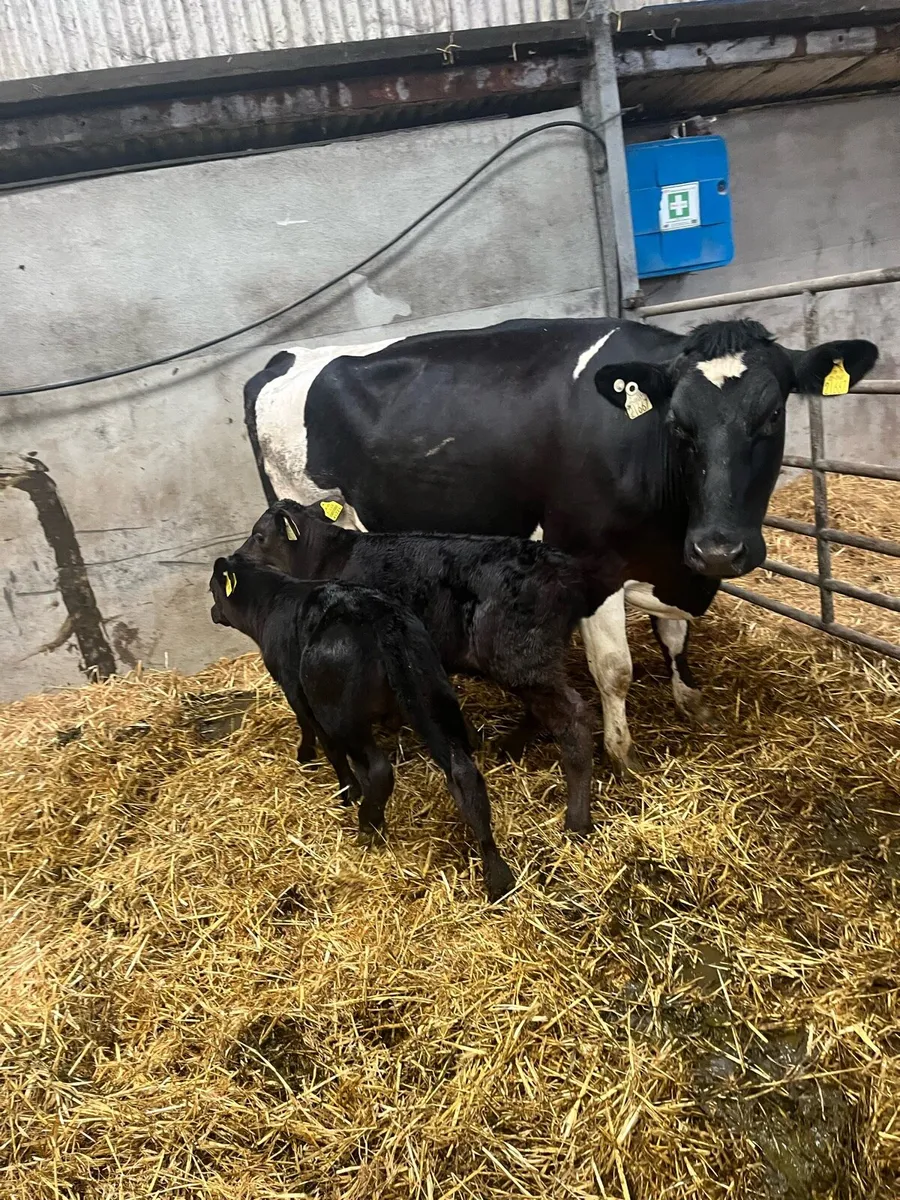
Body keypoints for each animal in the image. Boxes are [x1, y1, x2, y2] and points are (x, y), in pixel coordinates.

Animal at [209, 554, 515, 901]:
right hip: (429, 691)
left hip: (340, 713)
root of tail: (379, 620)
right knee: (463, 772)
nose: (213, 612)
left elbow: (319, 738)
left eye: (212, 590)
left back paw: (368, 823)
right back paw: (497, 873)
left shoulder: (296, 691)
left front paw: (333, 778)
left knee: (379, 768)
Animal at [236, 498, 598, 833]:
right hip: (531, 664)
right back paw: (507, 748)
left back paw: (577, 820)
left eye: (258, 535)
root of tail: (557, 562)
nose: (238, 558)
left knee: (574, 718)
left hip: (520, 658)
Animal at [243, 317, 878, 772]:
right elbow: (614, 669)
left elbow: (674, 637)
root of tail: (283, 357)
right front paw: (621, 754)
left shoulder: (675, 559)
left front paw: (688, 698)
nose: (720, 549)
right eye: (679, 425)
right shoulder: (593, 561)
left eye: (772, 415)